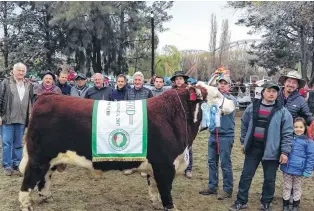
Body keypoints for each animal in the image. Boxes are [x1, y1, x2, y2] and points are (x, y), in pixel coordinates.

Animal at [17, 83, 234, 211]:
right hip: (38, 159)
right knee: (27, 183)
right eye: (216, 94)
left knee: (44, 179)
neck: (175, 117)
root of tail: (46, 97)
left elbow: (154, 187)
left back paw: (46, 197)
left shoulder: (155, 166)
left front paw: (155, 203)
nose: (233, 104)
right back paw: (27, 205)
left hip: (49, 160)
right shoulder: (165, 165)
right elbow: (166, 192)